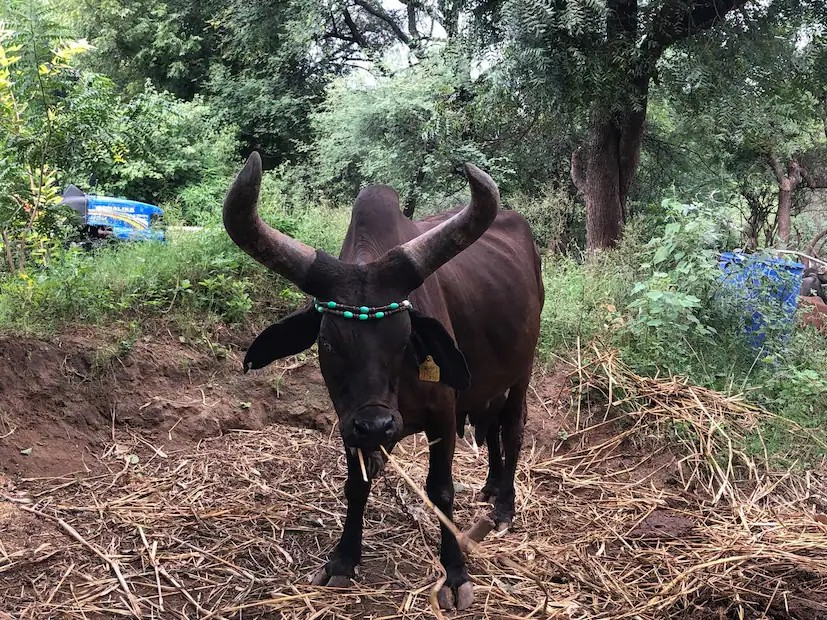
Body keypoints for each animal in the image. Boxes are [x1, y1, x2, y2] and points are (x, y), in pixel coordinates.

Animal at [223, 152, 544, 611]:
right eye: (327, 341)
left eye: (405, 337)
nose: (377, 425)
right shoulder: (348, 422)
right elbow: (356, 485)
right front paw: (343, 558)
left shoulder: (443, 417)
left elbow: (441, 491)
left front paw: (455, 573)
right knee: (493, 428)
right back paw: (489, 487)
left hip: (522, 371)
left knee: (512, 429)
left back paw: (503, 507)